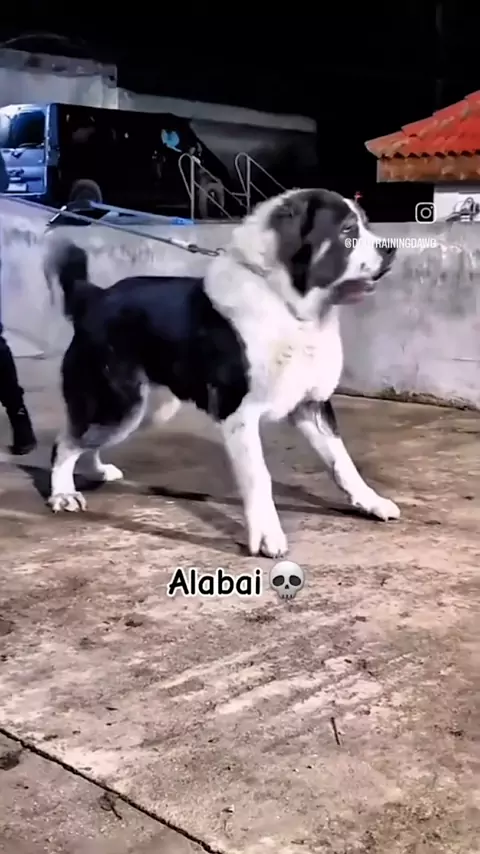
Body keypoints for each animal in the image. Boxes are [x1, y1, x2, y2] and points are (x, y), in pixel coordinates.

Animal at [44, 187, 399, 557]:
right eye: (347, 230)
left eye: (363, 223)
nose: (392, 248)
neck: (287, 305)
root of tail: (95, 297)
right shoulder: (239, 414)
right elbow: (259, 477)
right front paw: (267, 535)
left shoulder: (311, 406)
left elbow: (343, 464)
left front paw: (371, 502)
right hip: (119, 405)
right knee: (65, 442)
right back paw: (63, 493)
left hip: (146, 411)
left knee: (86, 440)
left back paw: (95, 470)